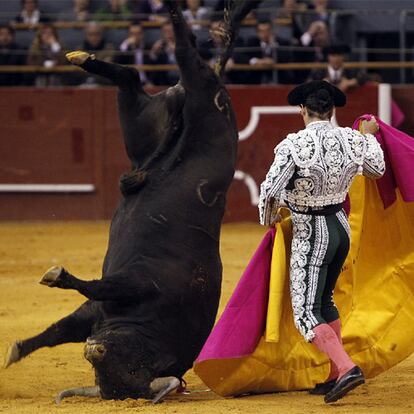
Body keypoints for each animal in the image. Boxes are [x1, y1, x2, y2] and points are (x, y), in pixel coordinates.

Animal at [4, 0, 258, 404]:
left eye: (132, 373)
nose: (95, 350)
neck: (146, 325)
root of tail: (179, 92)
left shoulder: (112, 299)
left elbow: (73, 312)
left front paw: (22, 339)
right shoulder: (128, 289)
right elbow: (68, 318)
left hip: (141, 122)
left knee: (132, 75)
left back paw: (89, 58)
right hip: (196, 101)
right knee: (181, 53)